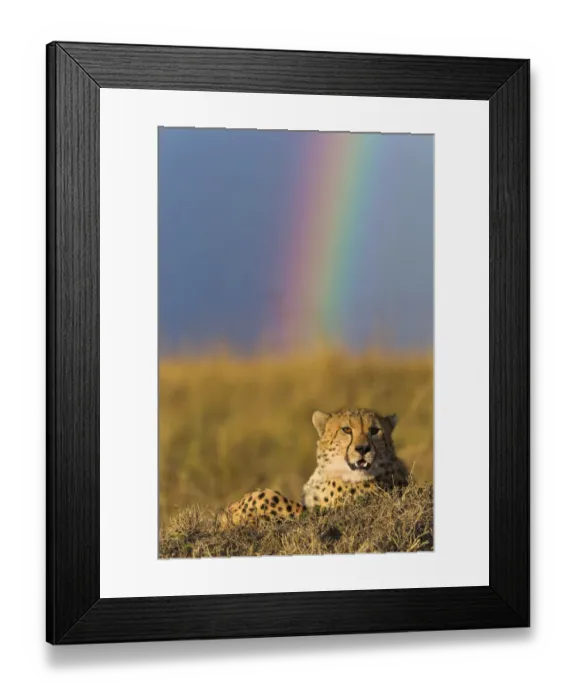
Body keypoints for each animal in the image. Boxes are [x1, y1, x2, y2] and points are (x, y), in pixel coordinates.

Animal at [225, 408, 409, 526]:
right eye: (346, 430)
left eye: (375, 431)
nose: (363, 448)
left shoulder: (322, 513)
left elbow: (272, 498)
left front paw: (235, 510)